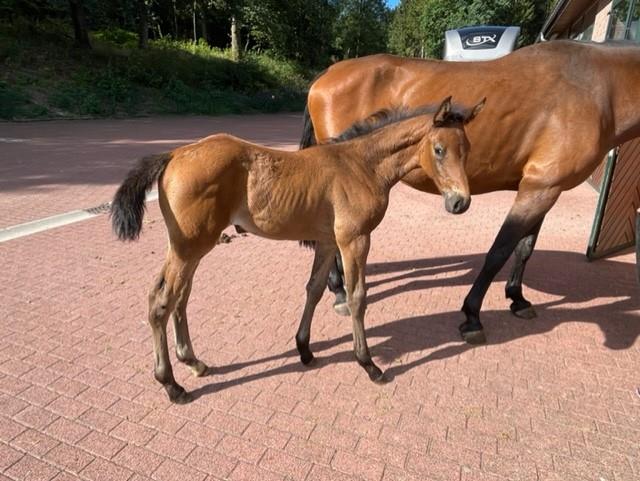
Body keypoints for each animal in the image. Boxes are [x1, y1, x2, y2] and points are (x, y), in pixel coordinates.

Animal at [111, 97, 484, 402]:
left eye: (467, 149)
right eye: (439, 150)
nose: (460, 202)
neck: (360, 166)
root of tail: (174, 154)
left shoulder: (328, 241)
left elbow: (314, 289)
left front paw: (304, 349)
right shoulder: (354, 239)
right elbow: (357, 296)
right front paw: (368, 364)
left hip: (191, 248)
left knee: (180, 298)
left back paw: (193, 362)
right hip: (189, 246)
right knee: (161, 300)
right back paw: (172, 384)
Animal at [302, 40, 640, 342]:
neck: (597, 89)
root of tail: (328, 73)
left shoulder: (546, 188)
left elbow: (524, 248)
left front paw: (518, 299)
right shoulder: (538, 189)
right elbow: (499, 251)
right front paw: (472, 315)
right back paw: (339, 292)